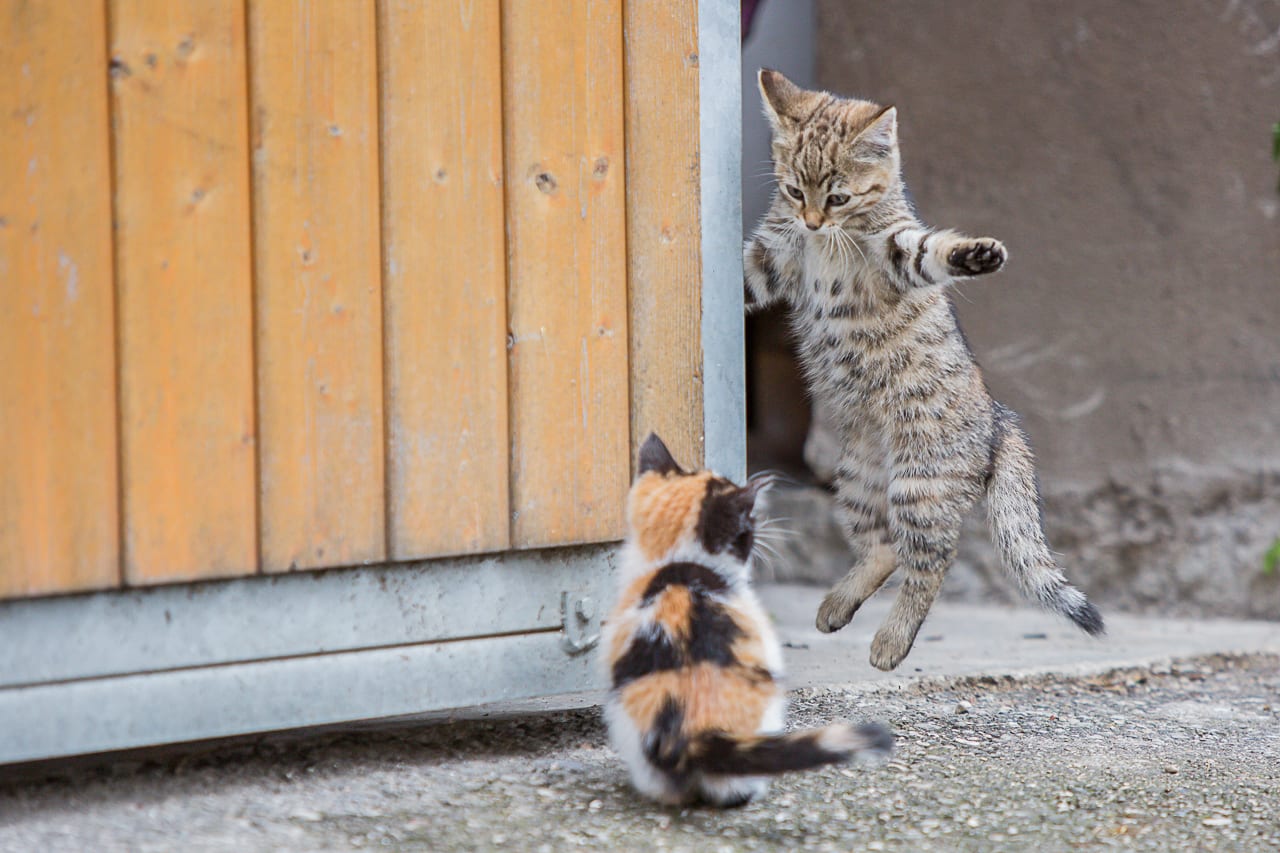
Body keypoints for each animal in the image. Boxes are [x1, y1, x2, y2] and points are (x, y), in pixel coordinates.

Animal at [744, 69, 1104, 672]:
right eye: (794, 191)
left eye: (837, 196)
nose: (812, 222)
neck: (823, 244)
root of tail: (999, 419)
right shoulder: (773, 257)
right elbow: (746, 270)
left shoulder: (893, 248)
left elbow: (927, 249)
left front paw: (974, 254)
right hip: (857, 478)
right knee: (885, 550)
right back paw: (836, 607)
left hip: (921, 483)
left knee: (931, 563)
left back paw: (890, 641)